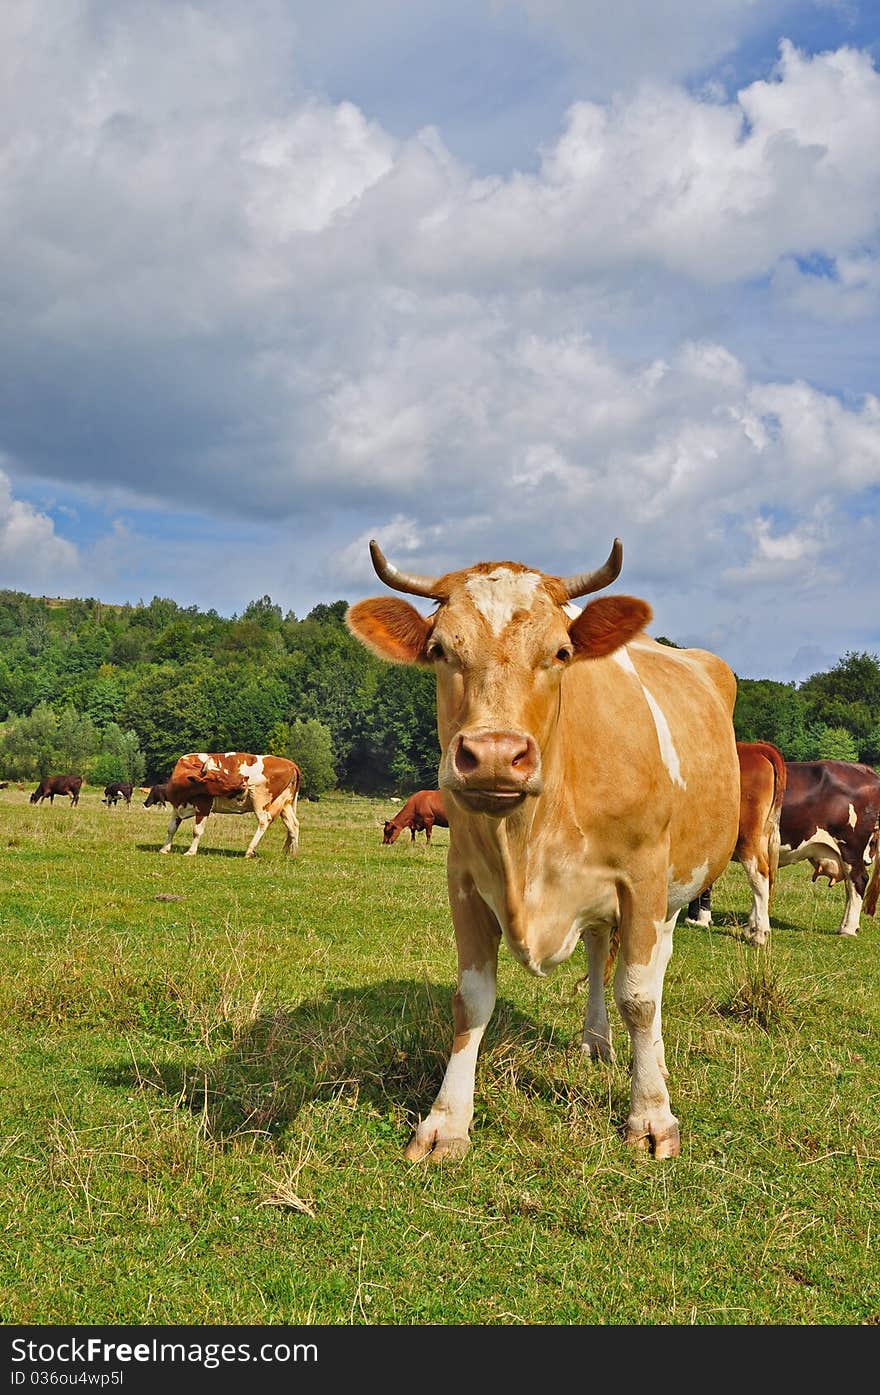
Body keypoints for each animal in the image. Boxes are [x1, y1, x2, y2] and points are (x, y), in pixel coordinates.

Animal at [161, 753, 302, 859]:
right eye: (219, 778)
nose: (243, 782)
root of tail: (290, 763)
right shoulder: (176, 808)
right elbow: (171, 828)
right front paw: (165, 849)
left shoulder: (204, 806)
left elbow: (197, 830)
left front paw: (191, 851)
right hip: (285, 803)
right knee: (293, 825)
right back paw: (293, 854)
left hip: (259, 799)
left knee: (264, 821)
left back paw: (249, 851)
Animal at [347, 538, 741, 1160]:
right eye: (439, 649)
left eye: (560, 652)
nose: (492, 754)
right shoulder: (464, 880)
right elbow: (471, 999)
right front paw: (446, 1121)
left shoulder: (643, 876)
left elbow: (640, 997)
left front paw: (652, 1115)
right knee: (600, 951)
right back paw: (597, 1041)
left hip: (676, 888)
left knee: (652, 970)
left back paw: (650, 1062)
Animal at [686, 742, 786, 948]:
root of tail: (757, 747)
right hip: (762, 834)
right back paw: (751, 928)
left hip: (748, 836)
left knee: (758, 873)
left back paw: (760, 934)